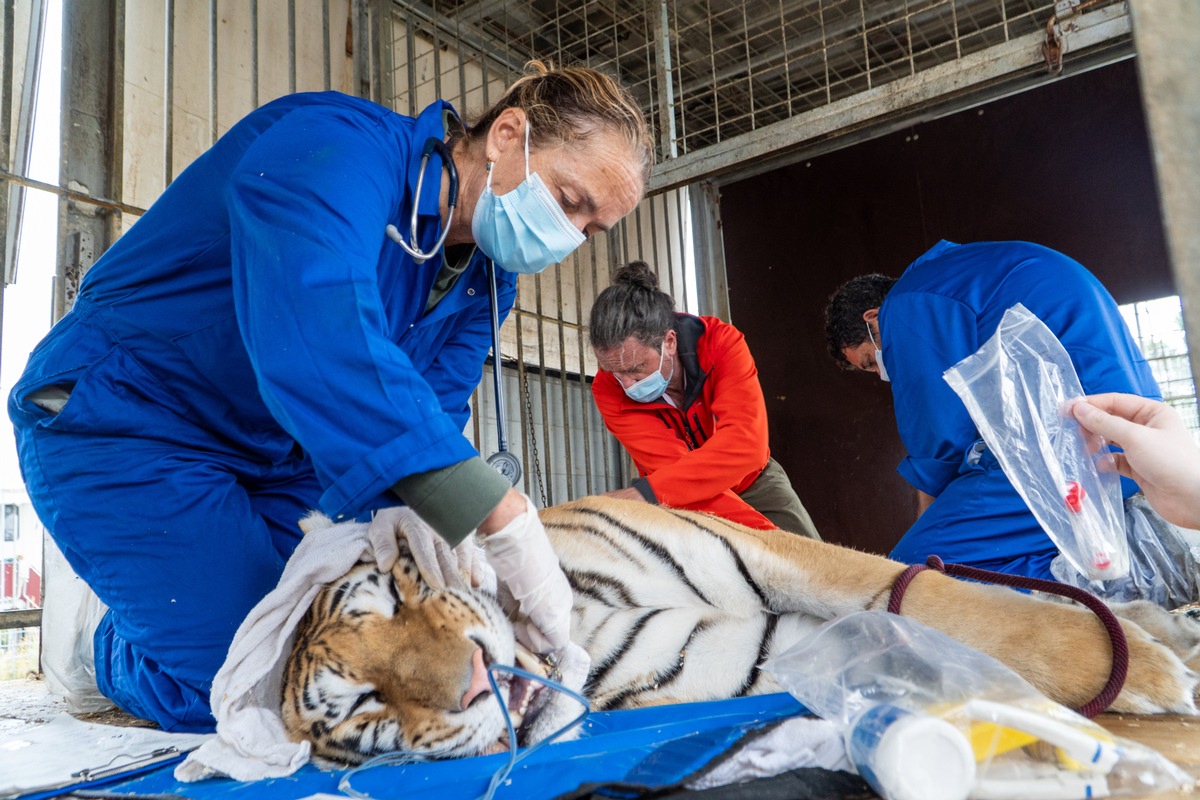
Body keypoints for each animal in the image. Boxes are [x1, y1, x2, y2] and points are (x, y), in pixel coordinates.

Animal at [281, 496, 1200, 764]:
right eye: (364, 707)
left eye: (393, 597)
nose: (472, 683)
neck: (583, 618)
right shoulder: (769, 651)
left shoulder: (777, 558)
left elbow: (942, 600)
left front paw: (1147, 674)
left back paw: (1156, 624)